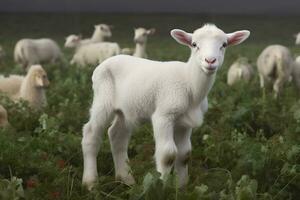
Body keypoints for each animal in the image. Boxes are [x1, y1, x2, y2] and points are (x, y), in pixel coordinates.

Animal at [81, 23, 251, 189]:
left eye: (224, 44)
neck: (189, 83)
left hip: (126, 110)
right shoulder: (164, 116)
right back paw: (90, 182)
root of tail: (104, 63)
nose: (210, 61)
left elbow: (184, 154)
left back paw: (126, 180)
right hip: (103, 99)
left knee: (117, 135)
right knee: (91, 133)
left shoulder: (185, 122)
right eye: (194, 44)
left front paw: (181, 188)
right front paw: (161, 187)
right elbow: (167, 154)